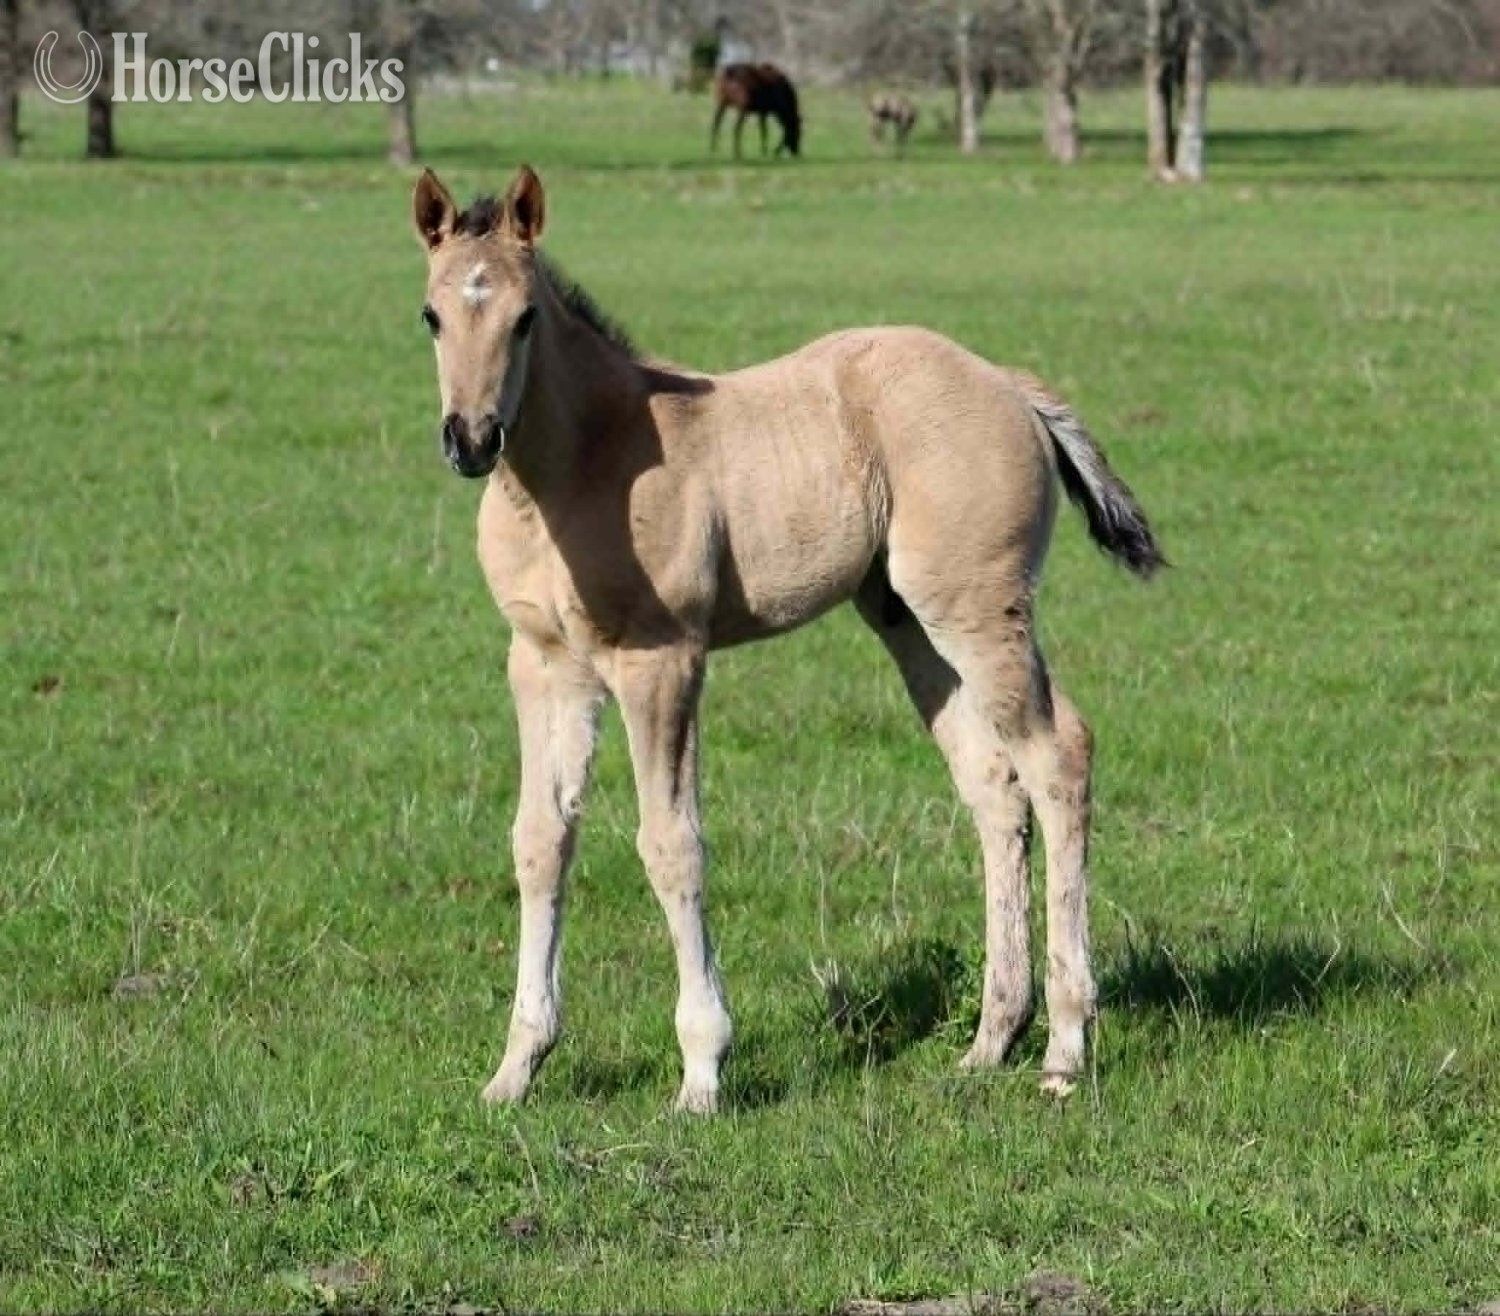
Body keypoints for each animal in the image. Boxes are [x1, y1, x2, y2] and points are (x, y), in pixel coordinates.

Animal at [410, 165, 1165, 1114]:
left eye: (524, 318)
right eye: (432, 315)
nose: (472, 440)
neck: (579, 466)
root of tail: (1009, 385)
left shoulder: (662, 661)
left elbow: (671, 844)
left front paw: (702, 1071)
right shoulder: (544, 666)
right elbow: (540, 841)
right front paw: (516, 1068)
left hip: (974, 606)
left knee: (1058, 755)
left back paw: (1064, 1048)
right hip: (907, 621)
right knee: (996, 790)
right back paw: (992, 1041)